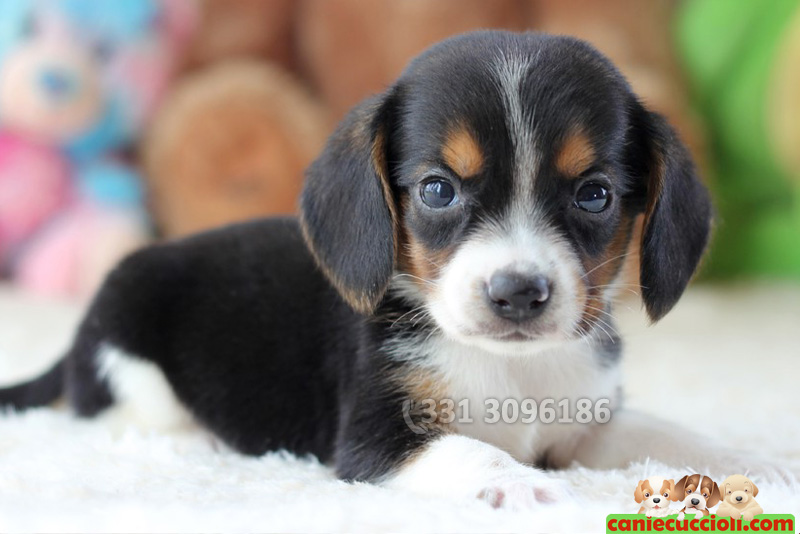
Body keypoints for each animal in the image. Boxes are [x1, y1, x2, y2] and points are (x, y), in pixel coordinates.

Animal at [0, 30, 770, 509]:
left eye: (595, 195)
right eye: (437, 189)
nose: (518, 293)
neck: (509, 368)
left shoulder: (586, 424)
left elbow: (666, 437)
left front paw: (749, 466)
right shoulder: (376, 442)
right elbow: (475, 453)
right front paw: (529, 488)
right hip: (129, 347)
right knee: (116, 415)